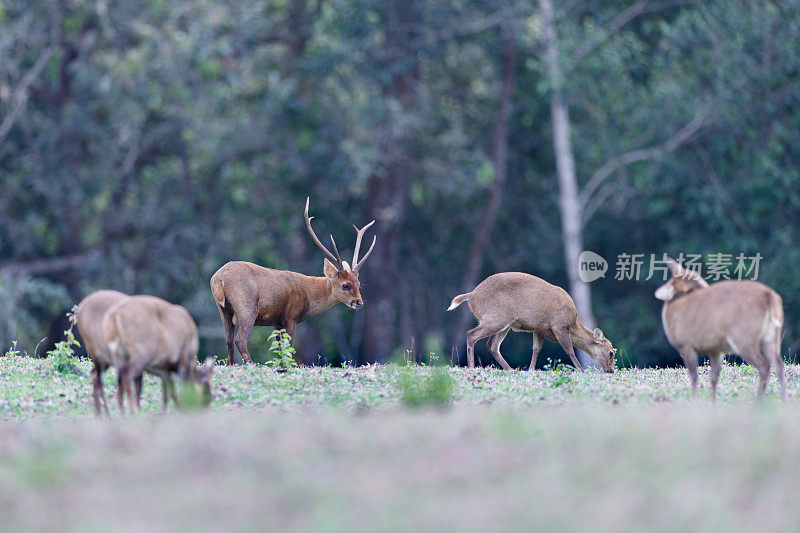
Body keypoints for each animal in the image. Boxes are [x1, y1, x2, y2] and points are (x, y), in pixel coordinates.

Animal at [209, 197, 378, 364]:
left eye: (359, 284)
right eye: (345, 285)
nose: (359, 302)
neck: (308, 295)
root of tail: (218, 278)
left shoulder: (276, 321)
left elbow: (280, 350)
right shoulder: (291, 316)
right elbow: (289, 348)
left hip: (223, 309)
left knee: (229, 340)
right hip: (246, 305)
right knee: (240, 340)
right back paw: (252, 364)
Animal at [446, 272, 616, 372]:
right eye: (611, 352)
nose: (611, 370)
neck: (573, 323)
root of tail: (472, 295)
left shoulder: (538, 328)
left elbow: (536, 349)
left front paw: (531, 369)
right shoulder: (559, 325)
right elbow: (569, 350)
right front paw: (581, 370)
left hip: (504, 323)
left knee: (492, 345)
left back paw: (510, 370)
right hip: (495, 317)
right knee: (471, 334)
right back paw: (471, 366)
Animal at [656, 258, 788, 400]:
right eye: (690, 288)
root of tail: (769, 296)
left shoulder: (686, 344)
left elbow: (694, 376)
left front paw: (694, 401)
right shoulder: (715, 349)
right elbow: (714, 378)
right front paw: (713, 403)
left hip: (743, 336)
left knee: (764, 365)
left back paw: (758, 401)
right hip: (771, 336)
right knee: (778, 364)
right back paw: (784, 400)